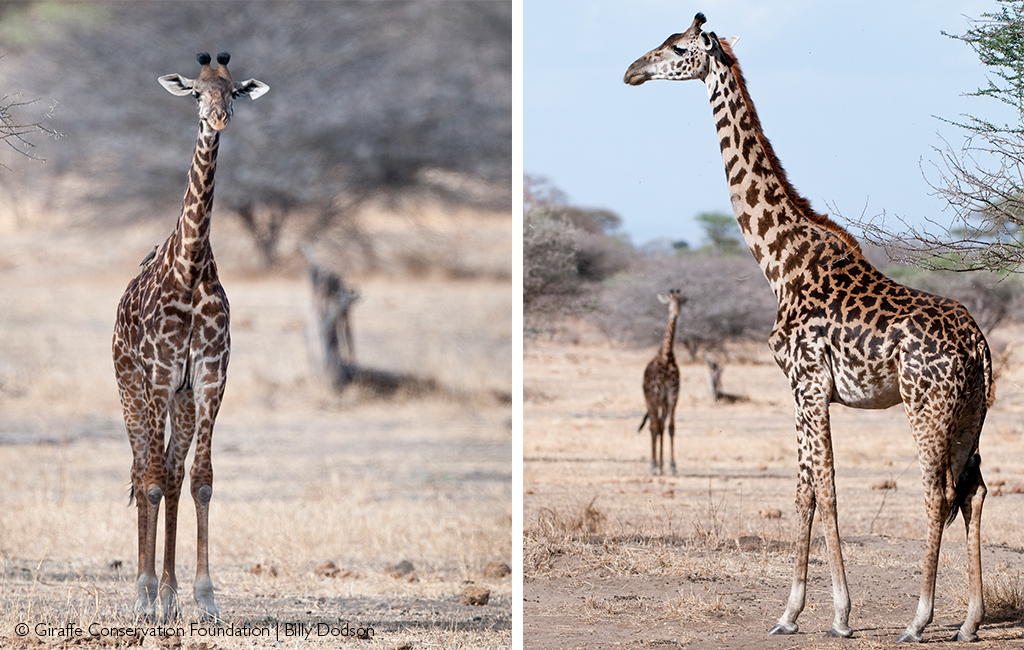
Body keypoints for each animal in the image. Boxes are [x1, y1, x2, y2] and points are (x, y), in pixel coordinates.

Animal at [112, 52, 268, 622]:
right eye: (197, 94)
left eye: (235, 91)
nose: (219, 118)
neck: (192, 266)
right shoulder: (158, 375)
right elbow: (153, 483)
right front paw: (144, 598)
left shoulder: (208, 377)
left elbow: (200, 481)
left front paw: (203, 599)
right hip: (131, 388)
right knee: (143, 471)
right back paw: (145, 595)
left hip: (177, 400)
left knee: (174, 473)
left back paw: (171, 595)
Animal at [639, 289, 685, 475]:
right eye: (669, 303)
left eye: (681, 302)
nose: (676, 313)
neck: (667, 358)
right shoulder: (658, 393)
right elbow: (656, 427)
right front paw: (655, 465)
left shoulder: (673, 394)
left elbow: (671, 427)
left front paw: (672, 465)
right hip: (650, 399)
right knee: (653, 426)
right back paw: (654, 465)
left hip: (663, 402)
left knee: (661, 426)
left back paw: (660, 464)